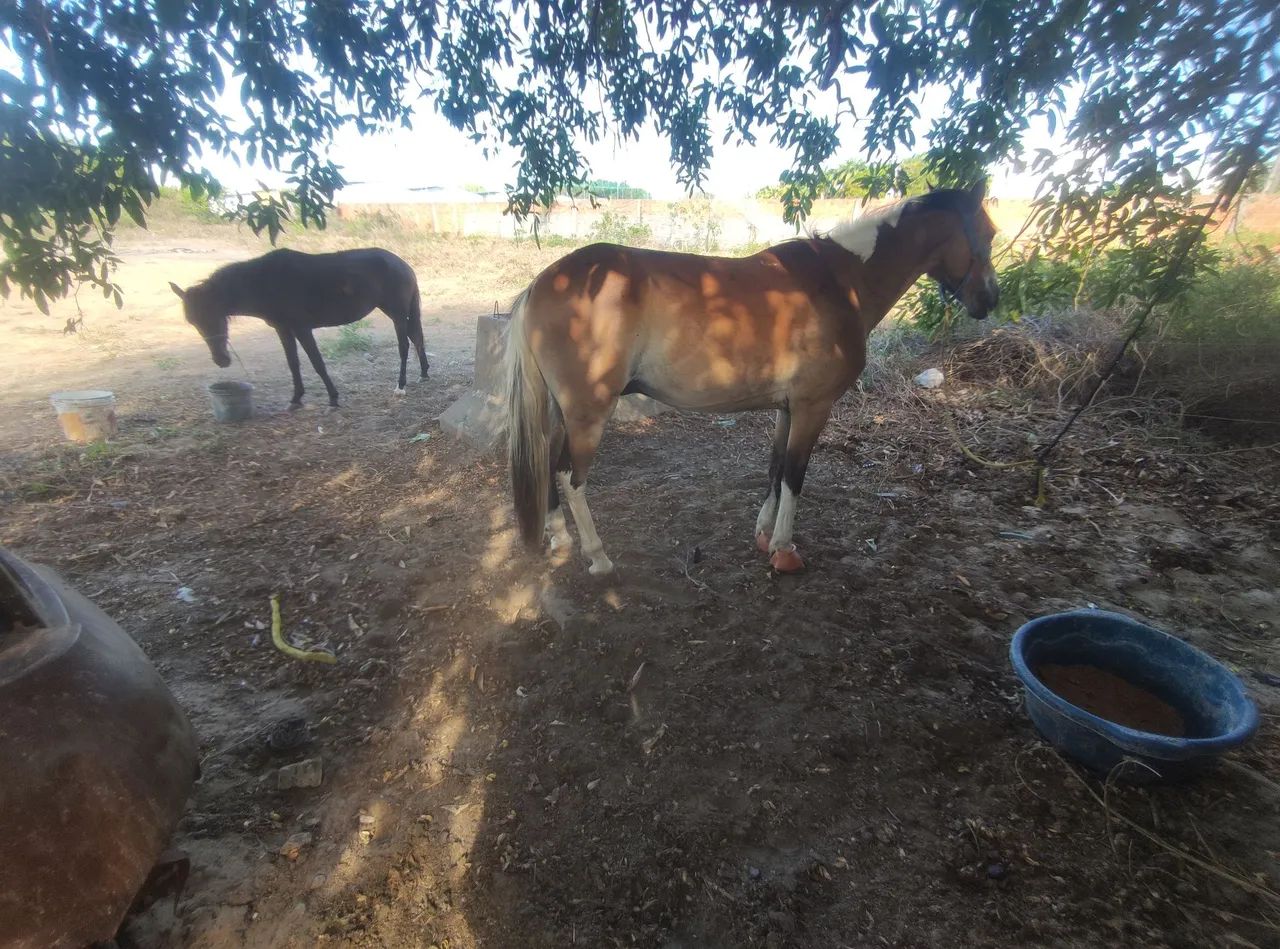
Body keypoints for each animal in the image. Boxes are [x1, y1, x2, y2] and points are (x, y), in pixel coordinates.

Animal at [169, 247, 429, 407]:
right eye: (193, 322)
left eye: (213, 316)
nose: (221, 360)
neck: (264, 283)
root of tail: (404, 265)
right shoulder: (283, 329)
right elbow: (293, 363)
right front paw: (296, 398)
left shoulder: (302, 328)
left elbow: (317, 363)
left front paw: (333, 398)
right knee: (416, 337)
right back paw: (424, 373)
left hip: (397, 313)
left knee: (404, 345)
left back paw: (401, 386)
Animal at [506, 182, 999, 576]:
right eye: (990, 233)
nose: (989, 300)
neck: (841, 281)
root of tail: (542, 283)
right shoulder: (813, 407)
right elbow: (796, 474)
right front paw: (784, 550)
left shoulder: (787, 408)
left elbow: (776, 468)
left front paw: (763, 535)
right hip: (589, 413)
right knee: (571, 477)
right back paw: (598, 557)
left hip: (564, 412)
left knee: (551, 464)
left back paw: (560, 540)